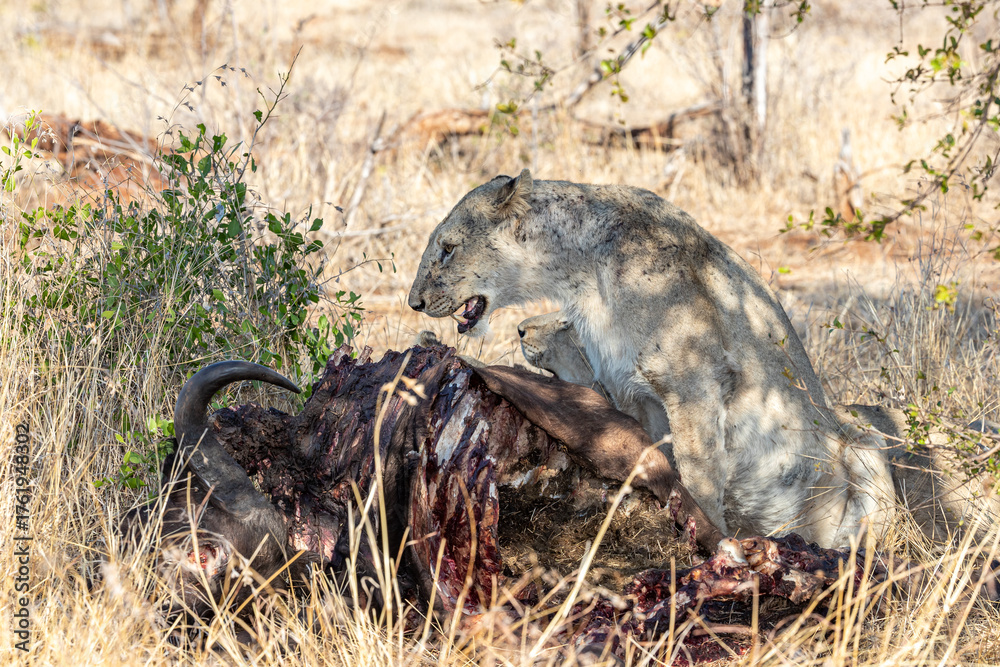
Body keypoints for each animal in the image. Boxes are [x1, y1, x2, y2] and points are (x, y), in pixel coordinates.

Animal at [408, 169, 902, 548]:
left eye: (448, 248)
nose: (414, 302)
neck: (583, 273)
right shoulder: (631, 394)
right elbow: (656, 466)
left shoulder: (694, 387)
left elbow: (699, 480)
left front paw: (709, 549)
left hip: (864, 446)